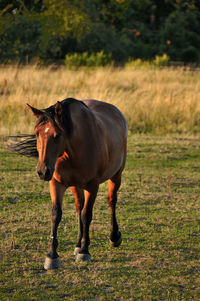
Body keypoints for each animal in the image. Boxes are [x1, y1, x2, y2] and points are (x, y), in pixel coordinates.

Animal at [21, 97, 127, 268]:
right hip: (75, 185)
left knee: (111, 201)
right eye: (37, 133)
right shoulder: (56, 183)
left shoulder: (92, 185)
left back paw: (114, 237)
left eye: (57, 135)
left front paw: (85, 251)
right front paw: (52, 256)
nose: (43, 171)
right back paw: (78, 244)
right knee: (79, 206)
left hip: (116, 175)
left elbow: (87, 214)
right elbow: (56, 214)